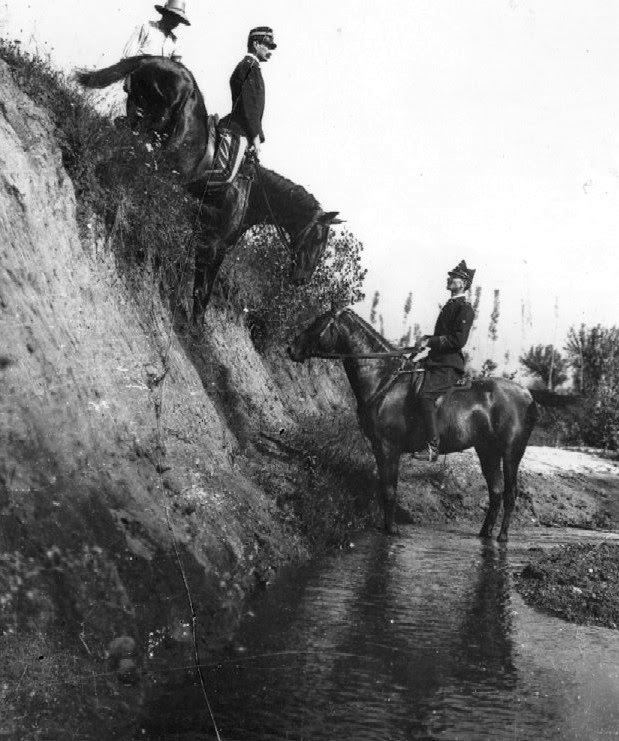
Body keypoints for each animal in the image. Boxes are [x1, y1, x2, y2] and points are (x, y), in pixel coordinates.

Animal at [76, 56, 344, 322]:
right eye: (319, 239)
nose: (302, 280)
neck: (250, 193)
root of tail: (156, 59)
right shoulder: (213, 244)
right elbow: (201, 290)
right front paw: (193, 326)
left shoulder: (210, 240)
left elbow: (192, 278)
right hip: (153, 122)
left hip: (139, 116)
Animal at [288, 310, 540, 540]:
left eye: (317, 322)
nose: (291, 349)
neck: (384, 379)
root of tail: (527, 396)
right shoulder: (379, 447)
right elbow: (384, 486)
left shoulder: (388, 447)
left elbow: (390, 489)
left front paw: (391, 530)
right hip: (487, 451)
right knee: (496, 491)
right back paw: (484, 533)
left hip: (511, 452)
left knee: (510, 494)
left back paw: (502, 537)